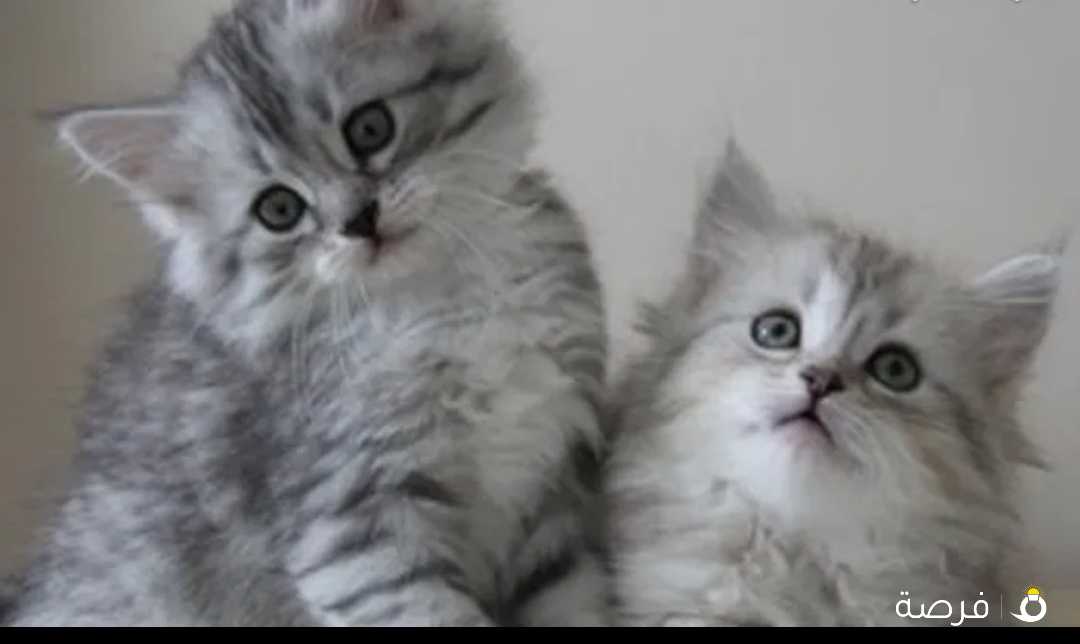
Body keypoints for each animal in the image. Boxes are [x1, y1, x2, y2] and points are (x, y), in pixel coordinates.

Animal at [8, 0, 608, 626]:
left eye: (370, 128)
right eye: (278, 209)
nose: (359, 222)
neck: (442, 301)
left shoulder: (554, 492)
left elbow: (573, 602)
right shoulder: (351, 528)